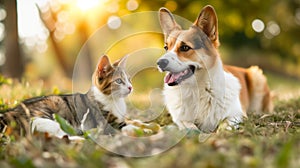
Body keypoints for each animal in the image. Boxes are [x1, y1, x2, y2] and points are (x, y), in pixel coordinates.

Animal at [0, 54, 132, 138]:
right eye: (119, 81)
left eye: (129, 79)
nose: (131, 87)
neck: (114, 100)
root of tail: (10, 111)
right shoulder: (107, 123)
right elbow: (127, 126)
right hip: (43, 118)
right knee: (59, 136)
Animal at [156, 4, 274, 133]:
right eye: (166, 47)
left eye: (185, 47)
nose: (159, 63)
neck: (196, 90)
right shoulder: (180, 119)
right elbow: (188, 125)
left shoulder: (237, 114)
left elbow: (224, 124)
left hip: (256, 76)